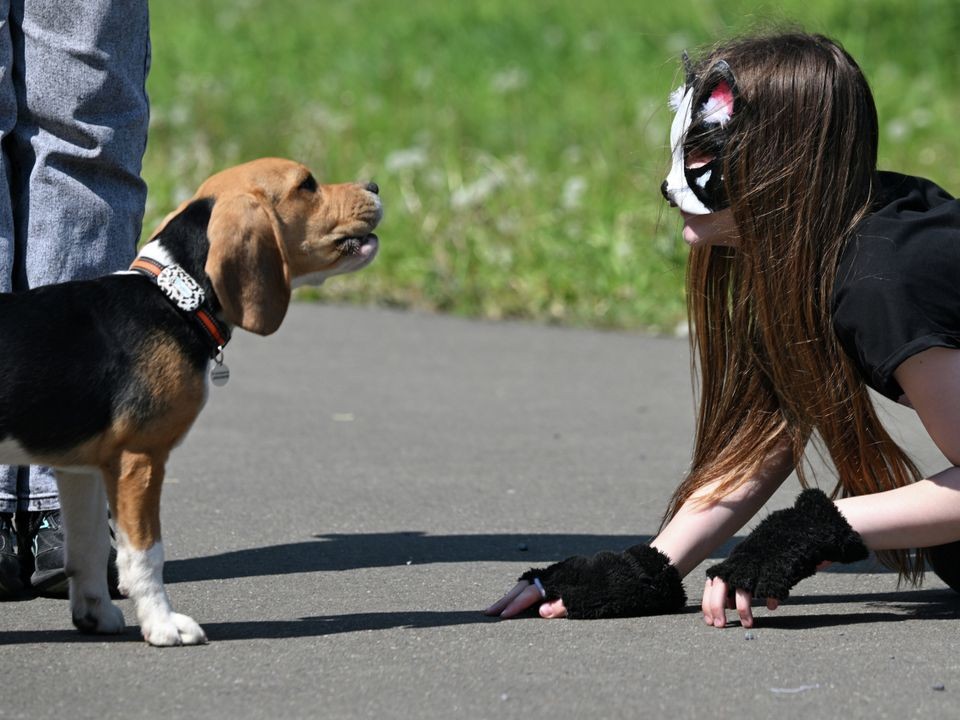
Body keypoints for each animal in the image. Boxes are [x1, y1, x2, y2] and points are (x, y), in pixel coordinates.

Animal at [0, 159, 382, 648]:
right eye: (306, 184)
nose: (374, 186)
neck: (174, 297)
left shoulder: (80, 470)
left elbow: (87, 549)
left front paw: (95, 615)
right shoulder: (139, 459)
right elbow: (145, 555)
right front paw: (163, 625)